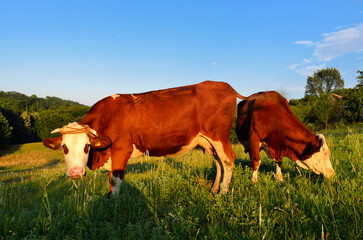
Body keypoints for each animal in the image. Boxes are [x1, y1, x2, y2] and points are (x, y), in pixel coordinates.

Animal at [43, 80, 247, 195]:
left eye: (87, 146)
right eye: (64, 147)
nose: (76, 172)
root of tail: (225, 86)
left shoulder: (121, 150)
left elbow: (116, 181)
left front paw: (114, 206)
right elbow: (110, 181)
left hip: (219, 137)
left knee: (228, 160)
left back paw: (223, 193)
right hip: (210, 141)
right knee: (219, 162)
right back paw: (214, 189)